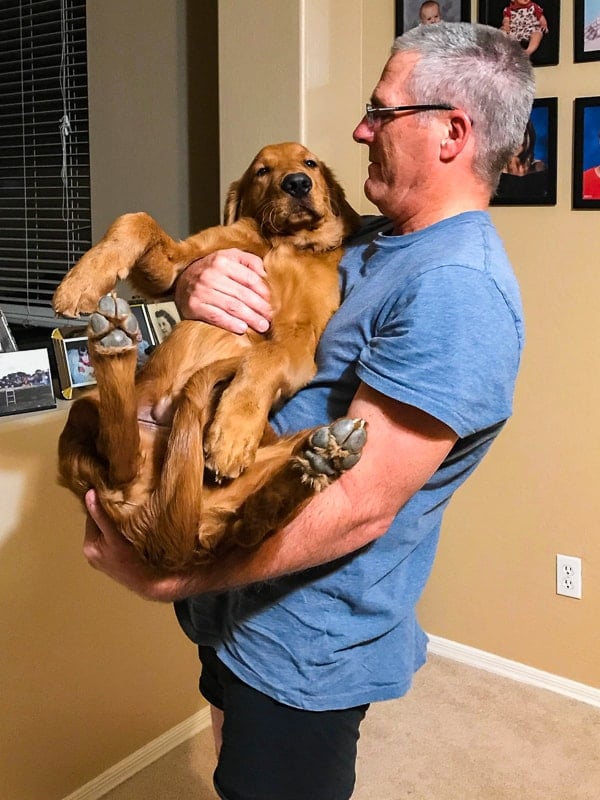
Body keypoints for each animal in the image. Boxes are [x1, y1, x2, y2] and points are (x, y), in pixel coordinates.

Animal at [52, 144, 366, 568]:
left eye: (310, 163)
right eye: (262, 171)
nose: (298, 183)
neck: (283, 242)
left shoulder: (301, 344)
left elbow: (265, 355)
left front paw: (232, 433)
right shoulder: (178, 265)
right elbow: (136, 221)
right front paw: (80, 282)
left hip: (258, 476)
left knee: (247, 526)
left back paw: (322, 460)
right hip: (86, 409)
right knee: (121, 460)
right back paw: (113, 340)